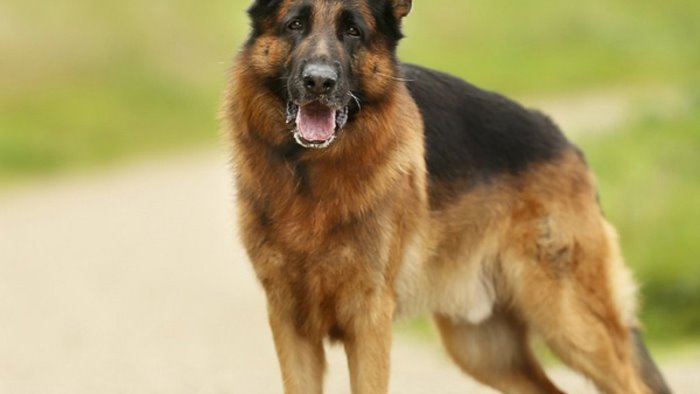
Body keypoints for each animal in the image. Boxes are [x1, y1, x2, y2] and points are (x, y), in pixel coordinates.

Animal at [226, 0, 672, 394]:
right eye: (295, 25)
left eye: (353, 31)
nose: (319, 82)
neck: (308, 173)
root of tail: (564, 140)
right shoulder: (290, 325)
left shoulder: (368, 324)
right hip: (482, 348)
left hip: (571, 323)